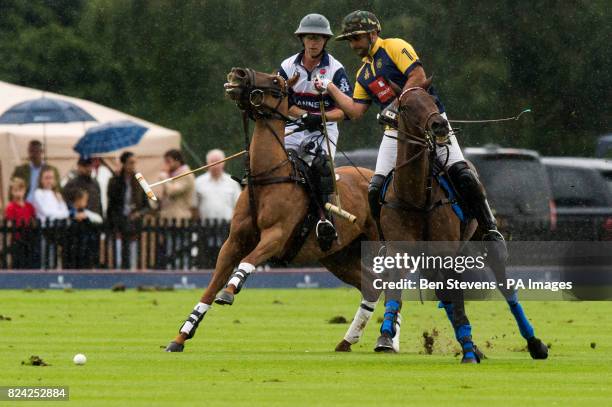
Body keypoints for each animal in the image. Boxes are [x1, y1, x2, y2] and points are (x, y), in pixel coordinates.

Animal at [165, 67, 380, 354]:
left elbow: (247, 262)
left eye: (276, 81)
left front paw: (229, 291)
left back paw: (386, 342)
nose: (237, 74)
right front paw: (181, 336)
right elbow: (211, 286)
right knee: (370, 287)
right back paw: (348, 341)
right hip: (338, 255)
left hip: (378, 241)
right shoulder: (234, 241)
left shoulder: (276, 235)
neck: (267, 177)